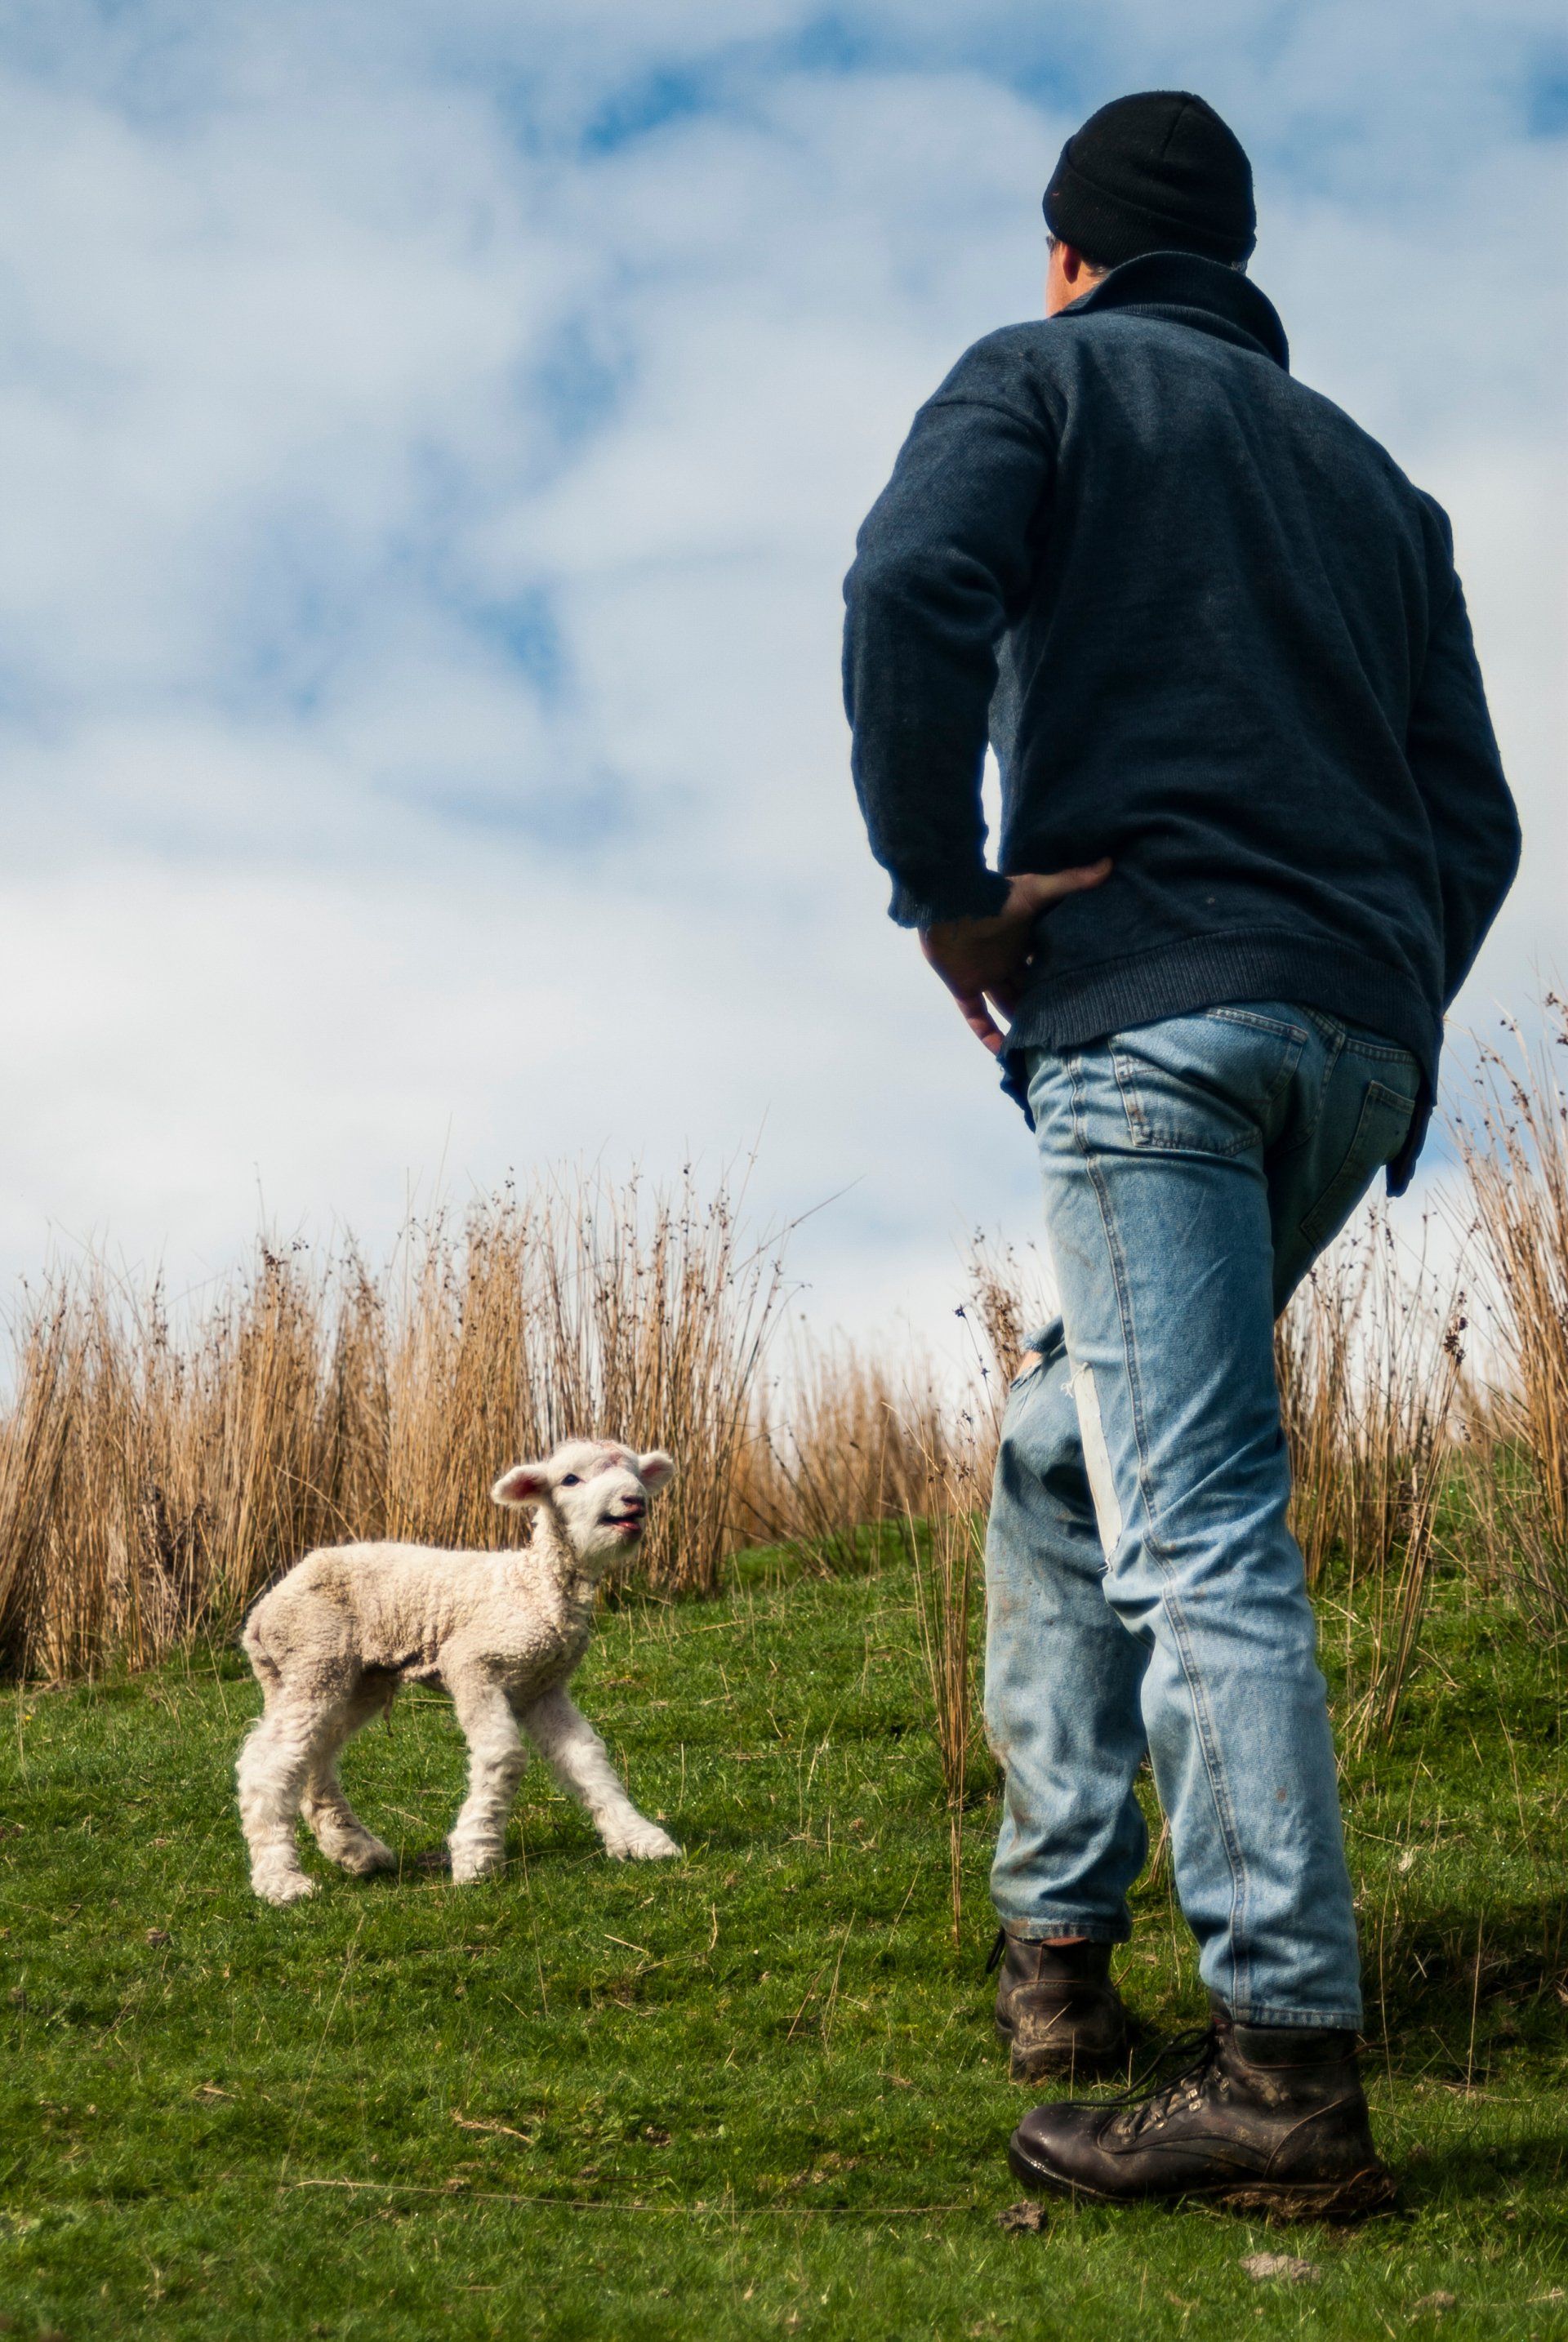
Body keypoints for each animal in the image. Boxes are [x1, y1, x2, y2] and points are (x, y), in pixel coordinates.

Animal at [235, 1439, 681, 1905]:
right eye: (570, 1480)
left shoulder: (542, 1687)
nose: (634, 1500)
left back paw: (356, 1850)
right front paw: (476, 1856)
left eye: (635, 1473)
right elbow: (503, 1754)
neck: (534, 1587)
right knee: (269, 1763)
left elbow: (586, 1759)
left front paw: (640, 1838)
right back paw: (282, 1880)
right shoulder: (473, 1664)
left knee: (314, 1756)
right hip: (315, 1655)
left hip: (354, 1678)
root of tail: (260, 1619)